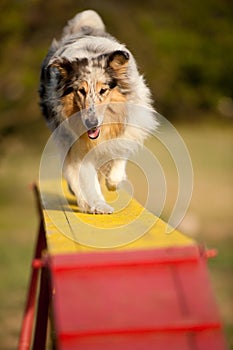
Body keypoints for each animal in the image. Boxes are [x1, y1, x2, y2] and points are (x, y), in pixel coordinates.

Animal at [39, 10, 157, 213]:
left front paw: (113, 181)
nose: (91, 123)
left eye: (103, 90)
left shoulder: (131, 125)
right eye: (81, 91)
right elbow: (85, 176)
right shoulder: (76, 144)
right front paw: (98, 204)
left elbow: (120, 151)